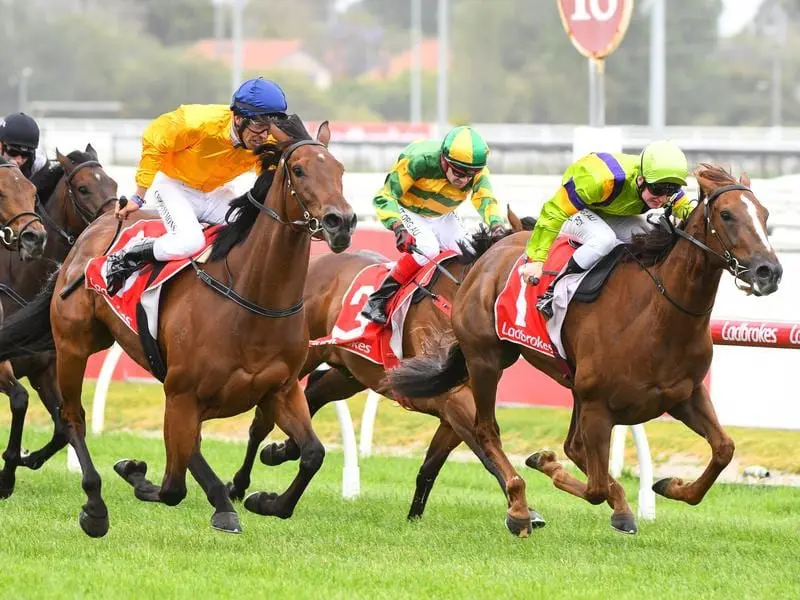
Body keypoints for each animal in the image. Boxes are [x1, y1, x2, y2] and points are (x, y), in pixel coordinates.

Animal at [0, 148, 118, 500]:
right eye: (83, 189)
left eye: (113, 183)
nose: (32, 238)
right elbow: (20, 400)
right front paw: (7, 474)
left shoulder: (45, 370)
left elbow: (63, 425)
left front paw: (26, 459)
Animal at [225, 213, 544, 532]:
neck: (458, 297)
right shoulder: (453, 400)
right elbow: (486, 452)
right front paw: (523, 511)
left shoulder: (458, 407)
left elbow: (432, 465)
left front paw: (414, 516)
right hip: (300, 359)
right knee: (261, 422)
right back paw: (239, 485)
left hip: (352, 372)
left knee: (314, 393)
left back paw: (281, 451)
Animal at [388, 165, 780, 536]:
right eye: (727, 215)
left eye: (764, 214)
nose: (769, 271)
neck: (657, 314)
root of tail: (488, 257)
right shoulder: (597, 405)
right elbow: (593, 485)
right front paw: (551, 470)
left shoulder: (684, 395)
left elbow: (724, 449)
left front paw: (670, 486)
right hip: (486, 359)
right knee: (487, 430)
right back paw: (519, 508)